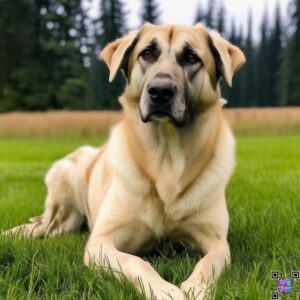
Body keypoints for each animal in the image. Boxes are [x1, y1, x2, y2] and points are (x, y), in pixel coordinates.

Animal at [3, 24, 245, 300]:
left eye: (191, 57)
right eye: (147, 53)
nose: (160, 91)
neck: (167, 160)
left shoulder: (217, 242)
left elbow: (209, 263)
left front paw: (197, 288)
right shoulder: (101, 242)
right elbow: (136, 261)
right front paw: (164, 290)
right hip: (61, 203)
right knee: (41, 228)